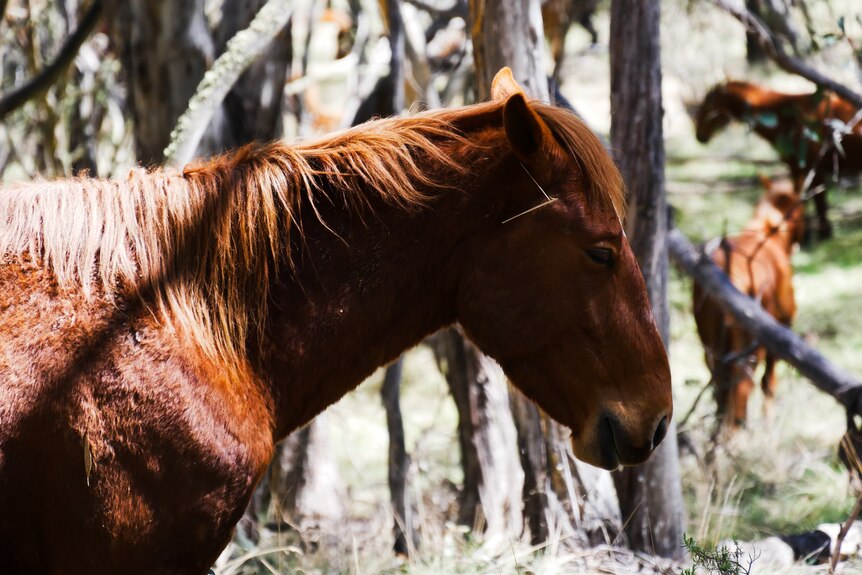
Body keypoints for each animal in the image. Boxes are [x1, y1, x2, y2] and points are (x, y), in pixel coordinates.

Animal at [692, 176, 808, 428]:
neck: (767, 233)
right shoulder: (781, 330)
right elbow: (769, 383)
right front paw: (768, 420)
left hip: (712, 348)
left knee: (721, 390)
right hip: (750, 351)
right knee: (742, 391)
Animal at [696, 81, 862, 241]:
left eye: (708, 105)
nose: (699, 136)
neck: (786, 117)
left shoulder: (811, 166)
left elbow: (818, 201)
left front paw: (821, 234)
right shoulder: (796, 167)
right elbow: (801, 198)